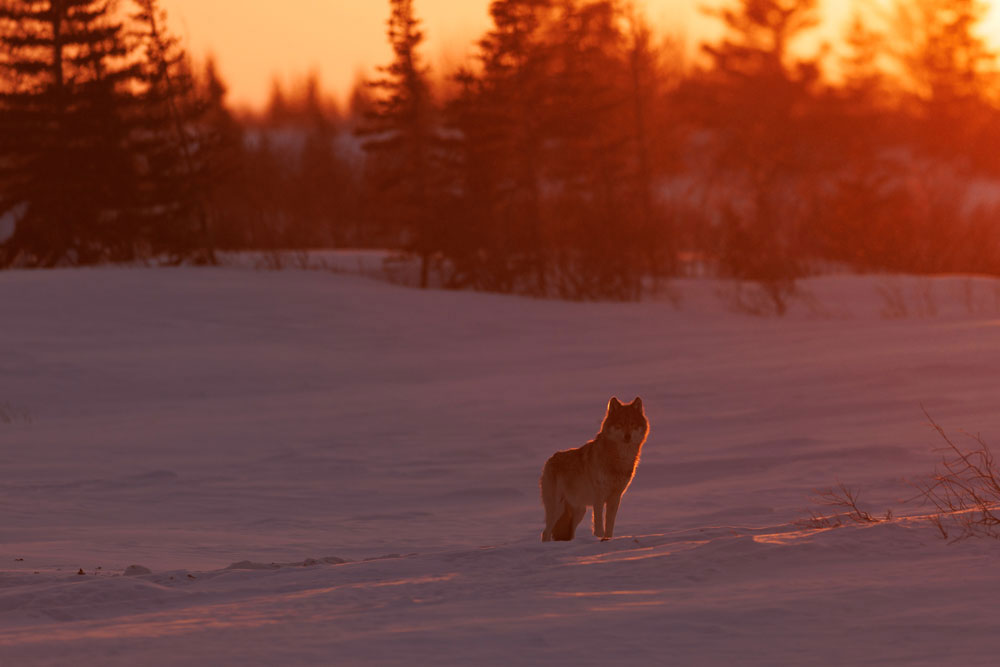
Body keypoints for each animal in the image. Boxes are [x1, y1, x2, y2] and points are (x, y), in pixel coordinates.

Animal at [540, 397, 649, 542]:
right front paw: (599, 537)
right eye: (620, 424)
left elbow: (610, 524)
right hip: (557, 508)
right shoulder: (599, 496)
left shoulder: (615, 497)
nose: (628, 436)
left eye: (632, 424)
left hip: (579, 511)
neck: (619, 459)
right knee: (545, 533)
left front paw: (607, 539)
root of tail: (550, 459)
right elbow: (598, 523)